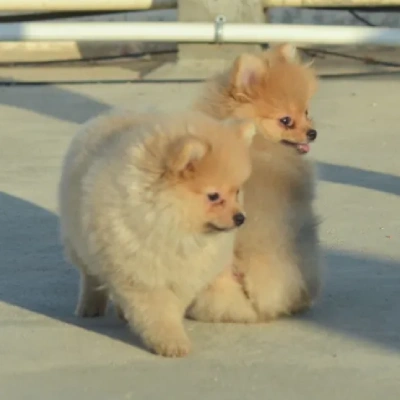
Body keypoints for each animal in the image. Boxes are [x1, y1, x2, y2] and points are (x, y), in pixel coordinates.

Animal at [57, 109, 255, 356]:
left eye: (237, 192)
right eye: (213, 196)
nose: (240, 217)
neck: (173, 227)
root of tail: (106, 117)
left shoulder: (185, 273)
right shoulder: (139, 271)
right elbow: (157, 310)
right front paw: (170, 341)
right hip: (80, 245)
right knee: (90, 276)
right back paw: (90, 306)